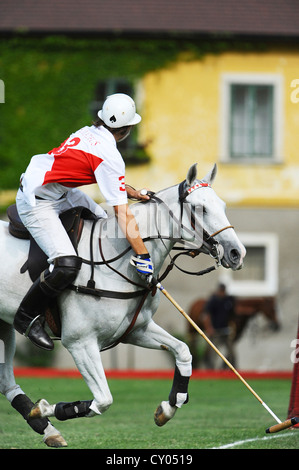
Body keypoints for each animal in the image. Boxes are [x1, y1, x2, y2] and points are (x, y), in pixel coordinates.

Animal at [0, 164, 246, 448]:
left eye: (223, 205)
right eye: (200, 208)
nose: (237, 254)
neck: (118, 258)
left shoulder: (136, 329)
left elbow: (183, 351)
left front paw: (168, 408)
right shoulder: (80, 342)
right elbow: (103, 400)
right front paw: (43, 408)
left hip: (3, 327)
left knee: (6, 381)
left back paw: (50, 431)